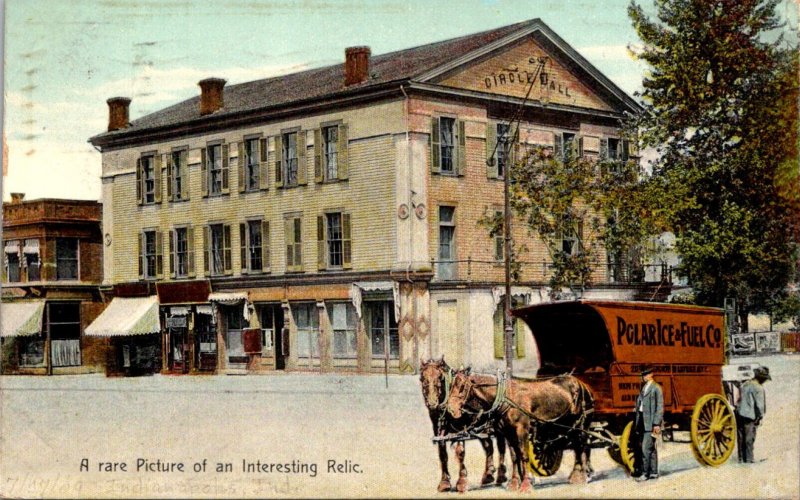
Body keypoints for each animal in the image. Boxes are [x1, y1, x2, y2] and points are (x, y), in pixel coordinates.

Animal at [418, 358, 506, 494]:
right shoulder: (439, 430)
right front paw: (444, 482)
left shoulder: (460, 430)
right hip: (481, 425)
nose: (432, 403)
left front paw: (462, 481)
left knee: (501, 446)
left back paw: (501, 475)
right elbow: (442, 453)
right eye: (422, 378)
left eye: (440, 377)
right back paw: (488, 474)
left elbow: (460, 452)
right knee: (488, 445)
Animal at [444, 372, 592, 492]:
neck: (507, 398)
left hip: (581, 424)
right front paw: (514, 483)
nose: (450, 409)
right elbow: (514, 457)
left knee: (580, 446)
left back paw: (580, 476)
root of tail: (580, 383)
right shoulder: (508, 433)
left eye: (462, 387)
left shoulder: (522, 430)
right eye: (451, 386)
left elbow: (523, 455)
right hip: (565, 426)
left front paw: (526, 484)